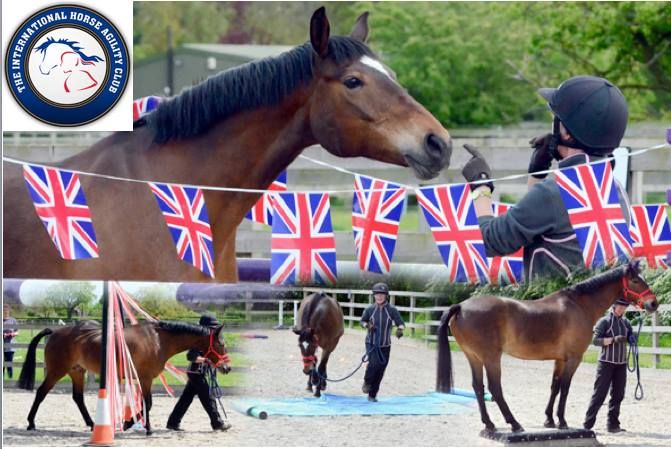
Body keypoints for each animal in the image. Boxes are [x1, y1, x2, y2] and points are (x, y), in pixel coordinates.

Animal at [17, 318, 231, 434]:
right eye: (221, 343)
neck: (158, 340)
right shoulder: (145, 378)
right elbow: (147, 404)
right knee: (41, 393)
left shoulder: (143, 379)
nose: (227, 368)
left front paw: (130, 424)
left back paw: (92, 424)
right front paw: (141, 427)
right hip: (57, 371)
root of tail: (55, 332)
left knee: (78, 398)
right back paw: (31, 423)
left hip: (77, 371)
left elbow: (145, 404)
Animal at [438, 260, 660, 432]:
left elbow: (554, 387)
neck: (579, 305)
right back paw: (514, 424)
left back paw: (490, 424)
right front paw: (562, 422)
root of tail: (461, 307)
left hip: (474, 357)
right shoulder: (573, 358)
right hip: (491, 358)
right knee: (495, 388)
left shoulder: (559, 359)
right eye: (636, 280)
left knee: (478, 387)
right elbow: (565, 388)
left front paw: (549, 420)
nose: (653, 303)